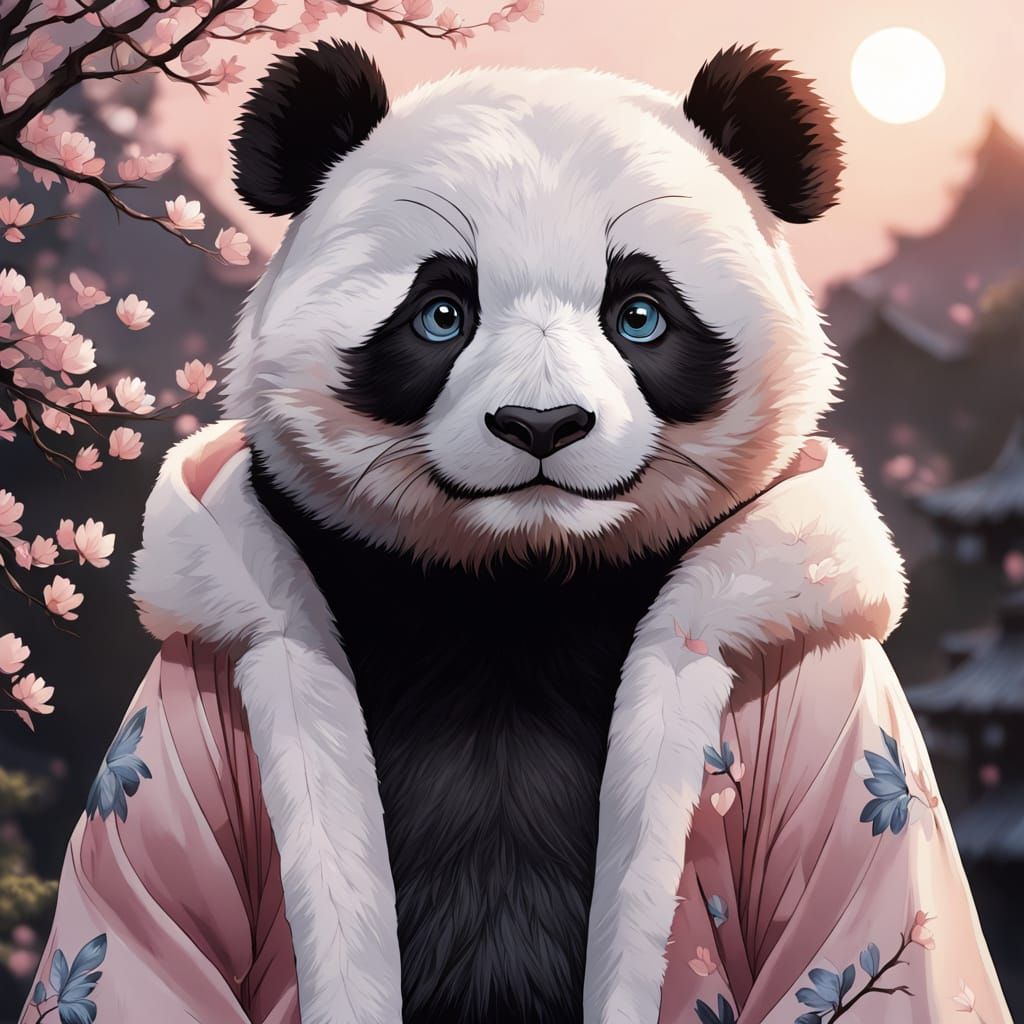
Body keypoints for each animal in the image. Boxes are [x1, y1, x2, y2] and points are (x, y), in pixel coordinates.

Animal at [31, 37, 1012, 1024]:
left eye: (641, 314)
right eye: (441, 314)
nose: (541, 424)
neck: (521, 573)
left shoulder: (826, 683)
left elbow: (854, 914)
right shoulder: (196, 687)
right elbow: (154, 918)